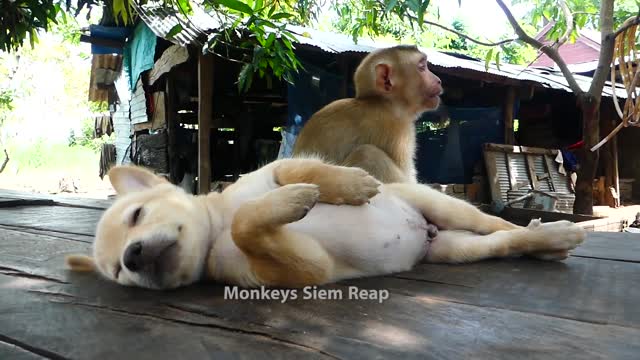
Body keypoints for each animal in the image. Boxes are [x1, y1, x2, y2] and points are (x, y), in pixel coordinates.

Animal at [66, 158, 584, 290]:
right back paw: (550, 241)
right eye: (119, 273)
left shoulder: (280, 167)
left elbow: (308, 173)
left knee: (495, 222)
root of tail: (429, 234)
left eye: (137, 216)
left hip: (444, 207)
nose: (133, 256)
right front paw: (292, 202)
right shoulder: (304, 267)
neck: (216, 226)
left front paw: (349, 186)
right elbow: (249, 224)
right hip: (454, 248)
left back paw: (549, 231)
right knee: (500, 244)